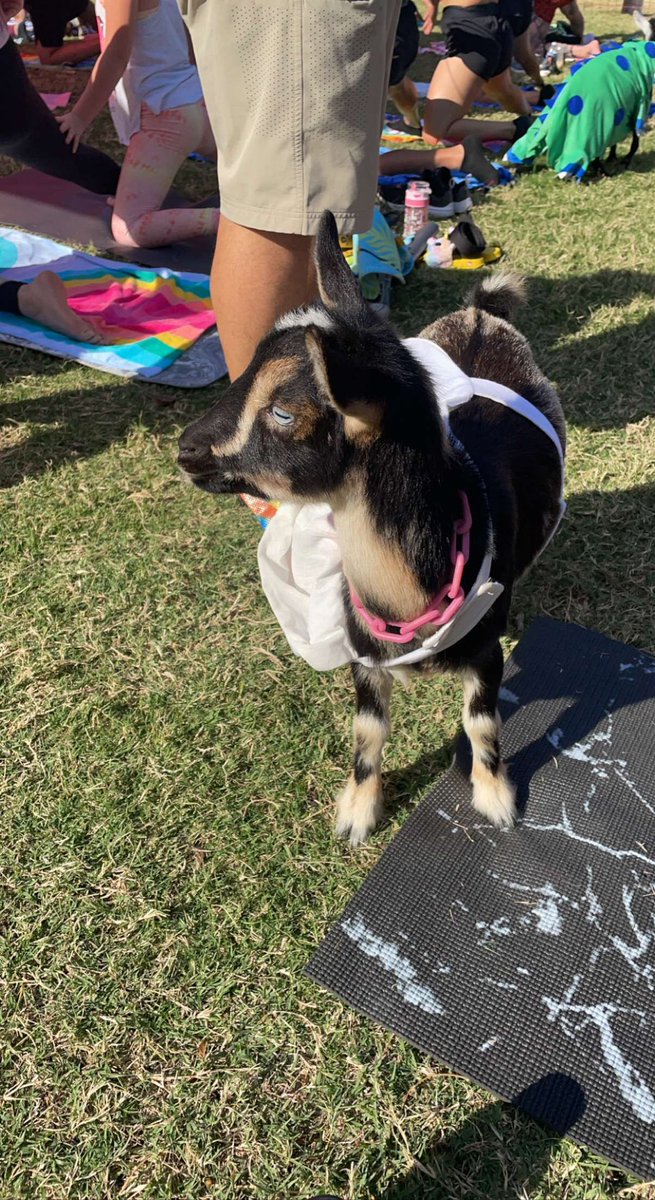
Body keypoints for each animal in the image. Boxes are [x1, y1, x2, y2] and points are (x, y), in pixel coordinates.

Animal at [178, 212, 566, 846]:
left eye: (284, 411)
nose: (185, 451)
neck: (407, 596)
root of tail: (481, 314)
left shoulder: (484, 655)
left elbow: (481, 725)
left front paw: (496, 801)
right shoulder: (361, 654)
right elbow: (368, 734)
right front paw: (357, 814)